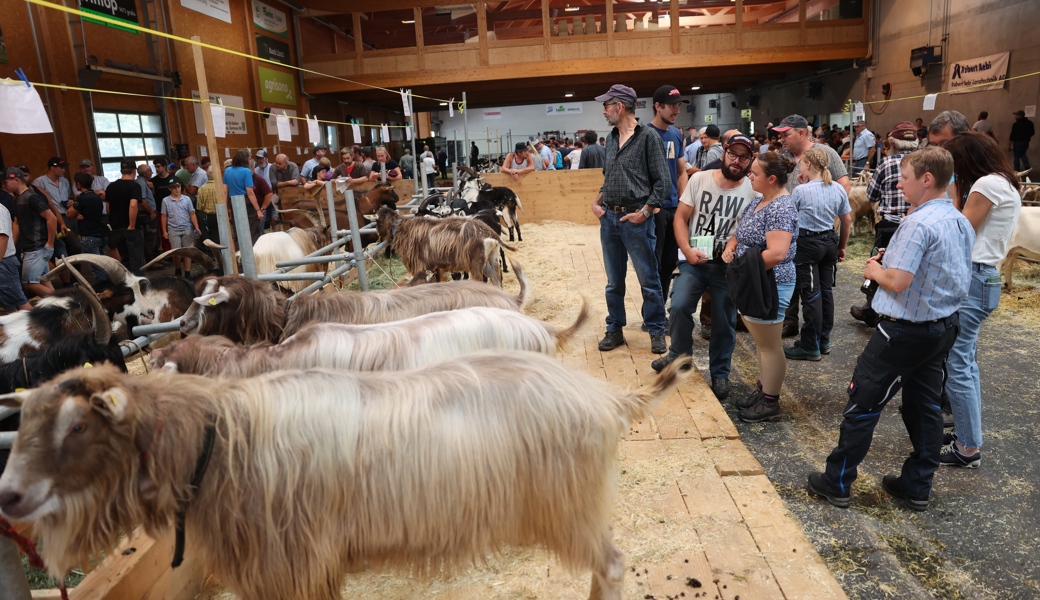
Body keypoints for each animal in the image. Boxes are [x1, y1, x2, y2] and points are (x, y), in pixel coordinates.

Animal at [0, 353, 694, 598]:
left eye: (78, 426)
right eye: (25, 419)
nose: (8, 494)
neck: (221, 439)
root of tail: (608, 398)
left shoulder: (292, 565)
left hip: (570, 509)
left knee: (613, 565)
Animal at [378, 205, 515, 284]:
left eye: (377, 220)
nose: (379, 235)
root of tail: (489, 233)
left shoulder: (421, 265)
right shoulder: (434, 266)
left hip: (477, 263)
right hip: (491, 260)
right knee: (497, 278)